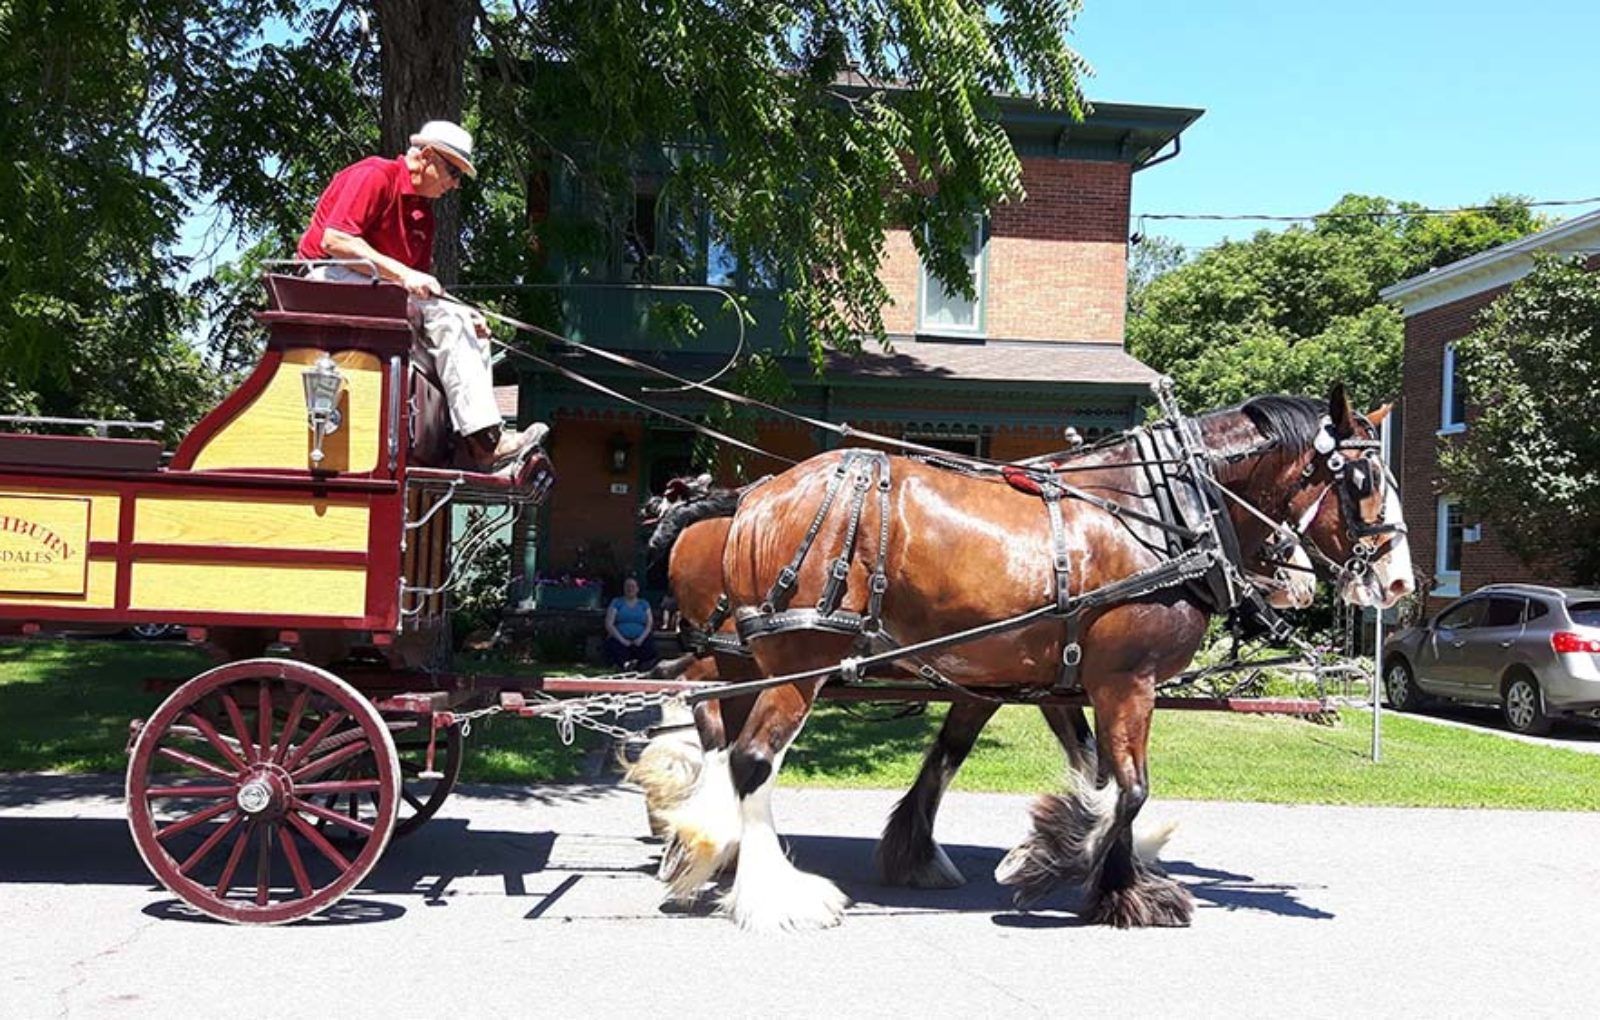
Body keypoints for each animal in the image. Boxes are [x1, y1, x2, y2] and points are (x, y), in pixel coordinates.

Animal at [631, 452, 1319, 888]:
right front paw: (1095, 868)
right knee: (726, 733)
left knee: (714, 721)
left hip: (743, 658)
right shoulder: (1123, 680)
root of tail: (748, 497)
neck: (1149, 519)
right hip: (771, 656)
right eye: (1345, 478)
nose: (1311, 583)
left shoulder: (1028, 680)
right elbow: (1123, 782)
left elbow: (1032, 761)